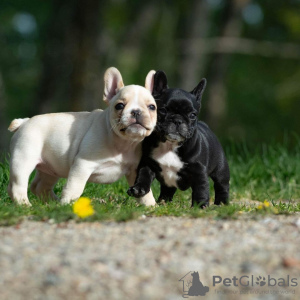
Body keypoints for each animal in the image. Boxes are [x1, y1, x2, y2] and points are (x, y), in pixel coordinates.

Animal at [7, 66, 157, 205]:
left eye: (152, 107)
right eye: (119, 106)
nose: (136, 111)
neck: (123, 143)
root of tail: (24, 121)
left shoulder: (134, 170)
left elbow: (145, 190)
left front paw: (151, 206)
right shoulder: (82, 165)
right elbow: (75, 187)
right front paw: (67, 204)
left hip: (50, 168)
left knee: (39, 186)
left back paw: (52, 203)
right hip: (24, 158)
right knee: (17, 185)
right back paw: (26, 205)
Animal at [127, 70, 230, 207]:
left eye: (192, 115)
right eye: (163, 110)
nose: (177, 120)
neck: (170, 145)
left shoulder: (199, 172)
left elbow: (201, 189)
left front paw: (200, 206)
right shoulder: (147, 163)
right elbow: (143, 176)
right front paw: (138, 189)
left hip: (221, 170)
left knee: (222, 185)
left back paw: (222, 203)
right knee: (168, 189)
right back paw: (163, 201)